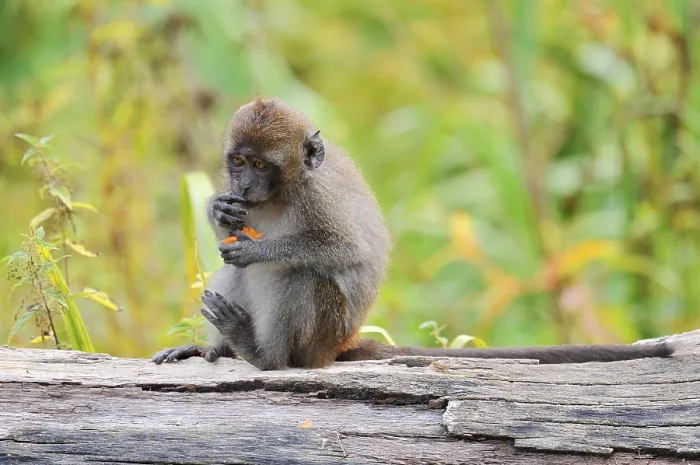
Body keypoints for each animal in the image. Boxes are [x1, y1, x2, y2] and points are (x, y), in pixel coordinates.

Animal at [152, 97, 673, 370]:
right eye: (238, 161)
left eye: (261, 165)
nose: (243, 186)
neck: (281, 193)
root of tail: (339, 345)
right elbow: (228, 237)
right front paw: (219, 209)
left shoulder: (319, 196)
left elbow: (344, 249)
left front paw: (261, 248)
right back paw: (217, 347)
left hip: (322, 337)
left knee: (304, 278)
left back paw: (263, 356)